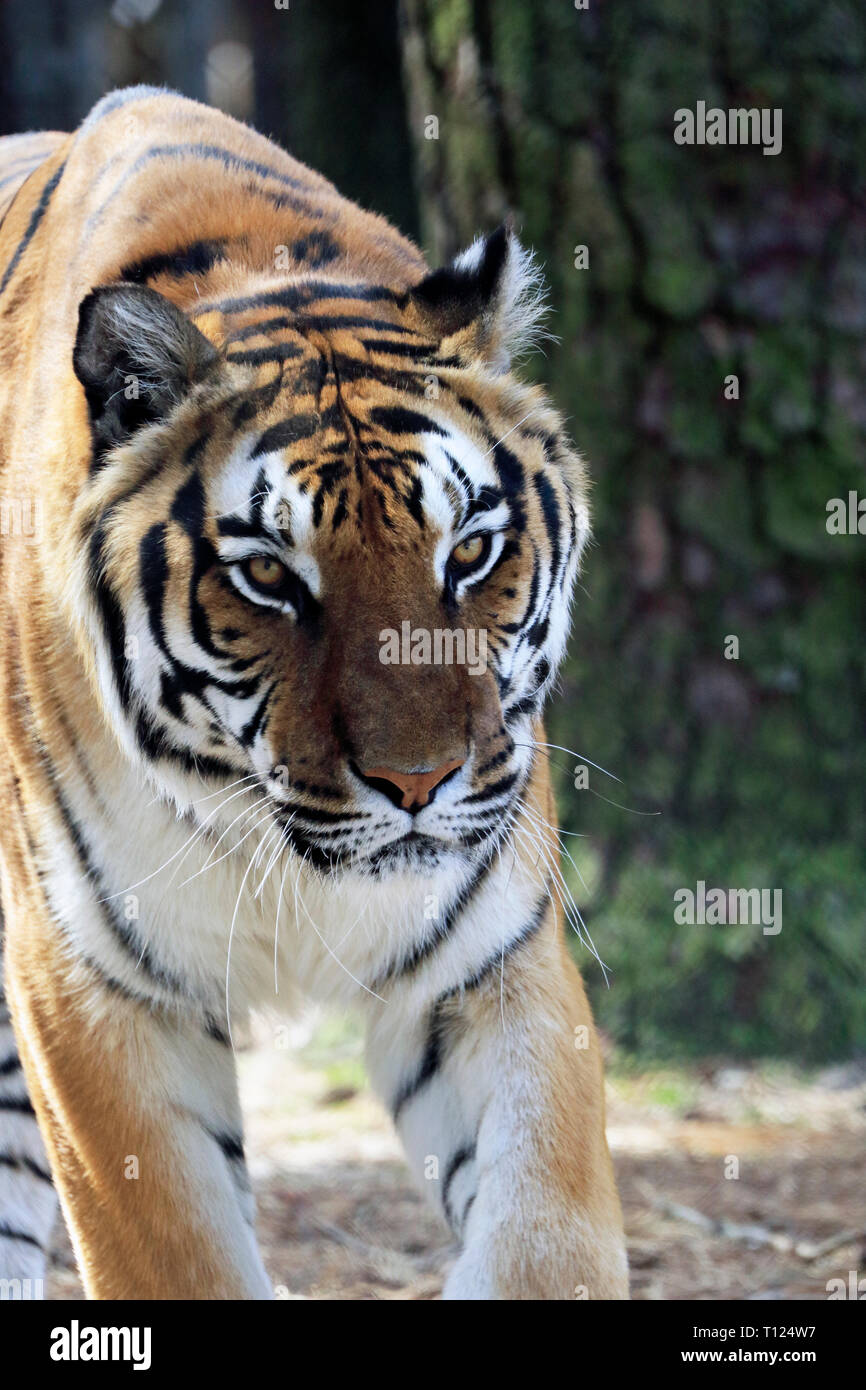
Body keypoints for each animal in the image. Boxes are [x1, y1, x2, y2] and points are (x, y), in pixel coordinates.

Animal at [0, 86, 625, 1301]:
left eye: (469, 552)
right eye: (270, 579)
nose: (419, 783)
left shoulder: (488, 960)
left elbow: (546, 1238)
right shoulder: (87, 985)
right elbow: (178, 1253)